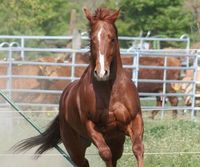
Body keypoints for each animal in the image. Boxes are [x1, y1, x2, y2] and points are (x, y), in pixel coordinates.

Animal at [13, 8, 144, 167]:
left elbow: (137, 148)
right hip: (75, 146)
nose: (102, 73)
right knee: (84, 161)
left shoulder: (134, 120)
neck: (111, 92)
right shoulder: (91, 126)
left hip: (116, 140)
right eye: (92, 39)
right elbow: (105, 153)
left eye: (112, 38)